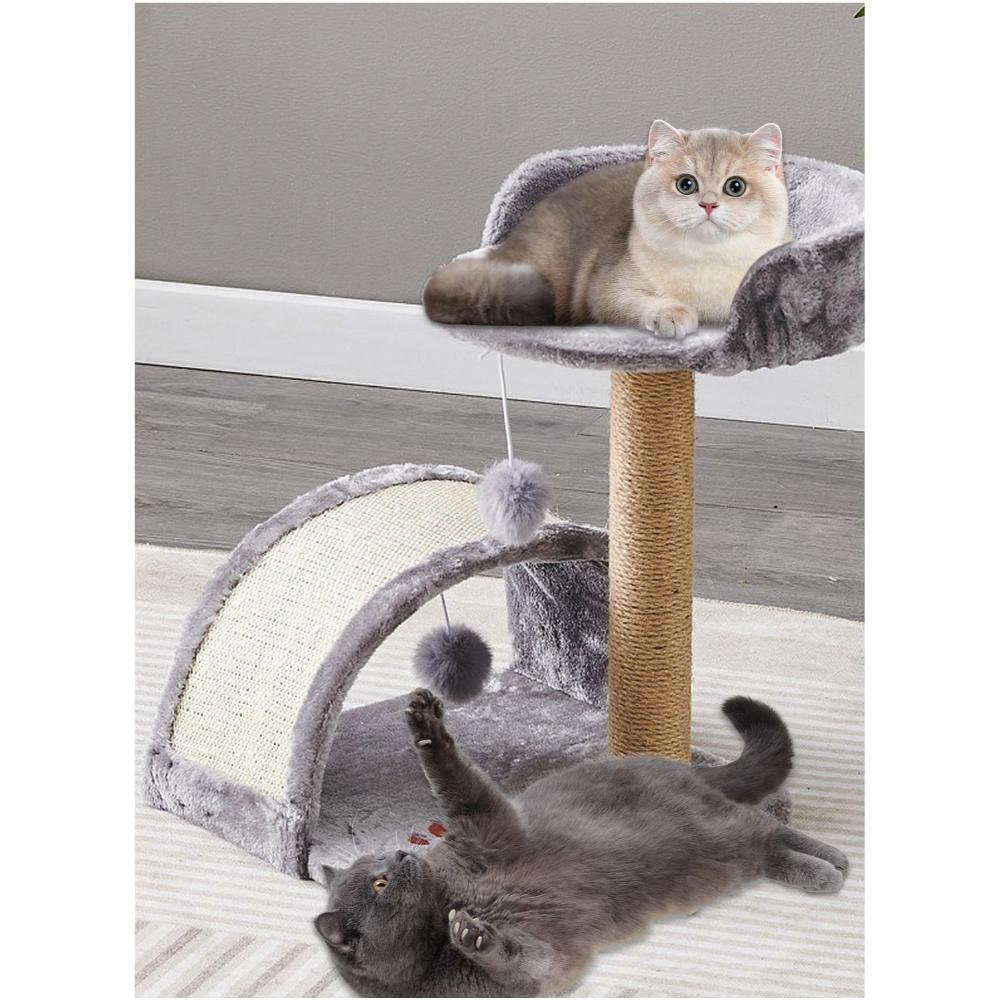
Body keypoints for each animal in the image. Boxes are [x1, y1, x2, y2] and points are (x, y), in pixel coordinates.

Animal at [315, 688, 847, 998]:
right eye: (380, 883)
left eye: (376, 861)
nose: (401, 852)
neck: (447, 897)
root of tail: (680, 765)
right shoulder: (538, 973)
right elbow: (523, 962)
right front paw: (472, 935)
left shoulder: (485, 828)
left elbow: (454, 782)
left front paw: (424, 725)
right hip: (712, 852)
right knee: (761, 840)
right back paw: (825, 870)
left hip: (704, 824)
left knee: (766, 826)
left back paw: (832, 862)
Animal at [423, 121, 793, 338]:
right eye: (686, 184)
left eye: (735, 186)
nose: (708, 205)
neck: (706, 265)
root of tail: (508, 242)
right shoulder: (606, 290)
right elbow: (640, 302)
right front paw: (672, 314)